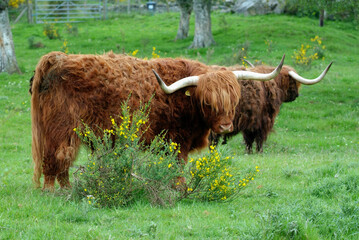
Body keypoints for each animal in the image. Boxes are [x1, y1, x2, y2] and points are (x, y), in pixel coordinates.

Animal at [29, 51, 286, 190]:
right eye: (208, 102)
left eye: (234, 99)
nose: (225, 126)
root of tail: (56, 59)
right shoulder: (177, 141)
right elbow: (178, 166)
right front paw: (180, 188)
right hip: (60, 129)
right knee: (56, 159)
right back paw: (54, 191)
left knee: (62, 163)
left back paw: (67, 189)